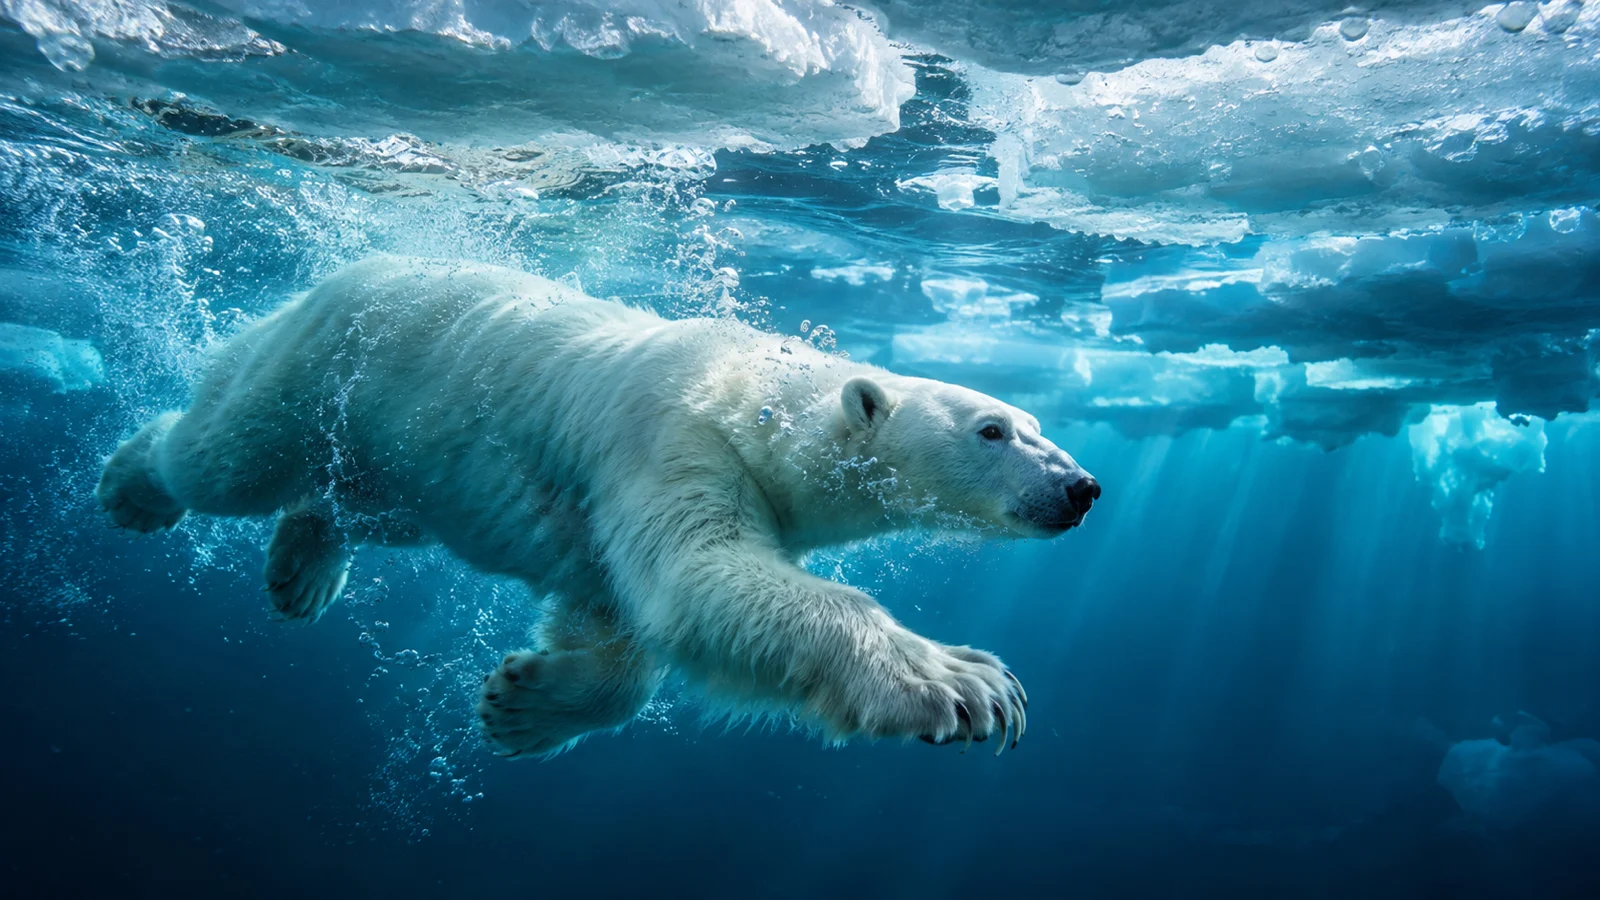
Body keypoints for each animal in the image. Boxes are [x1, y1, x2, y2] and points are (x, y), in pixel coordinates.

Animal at [96, 257, 1100, 757]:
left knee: (362, 502)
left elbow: (618, 618)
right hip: (328, 367)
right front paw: (961, 680)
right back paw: (132, 483)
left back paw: (302, 568)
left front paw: (524, 705)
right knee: (225, 457)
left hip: (398, 452)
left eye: (1036, 425)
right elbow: (700, 580)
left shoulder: (624, 505)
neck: (753, 398)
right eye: (993, 431)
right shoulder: (671, 439)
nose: (1082, 488)